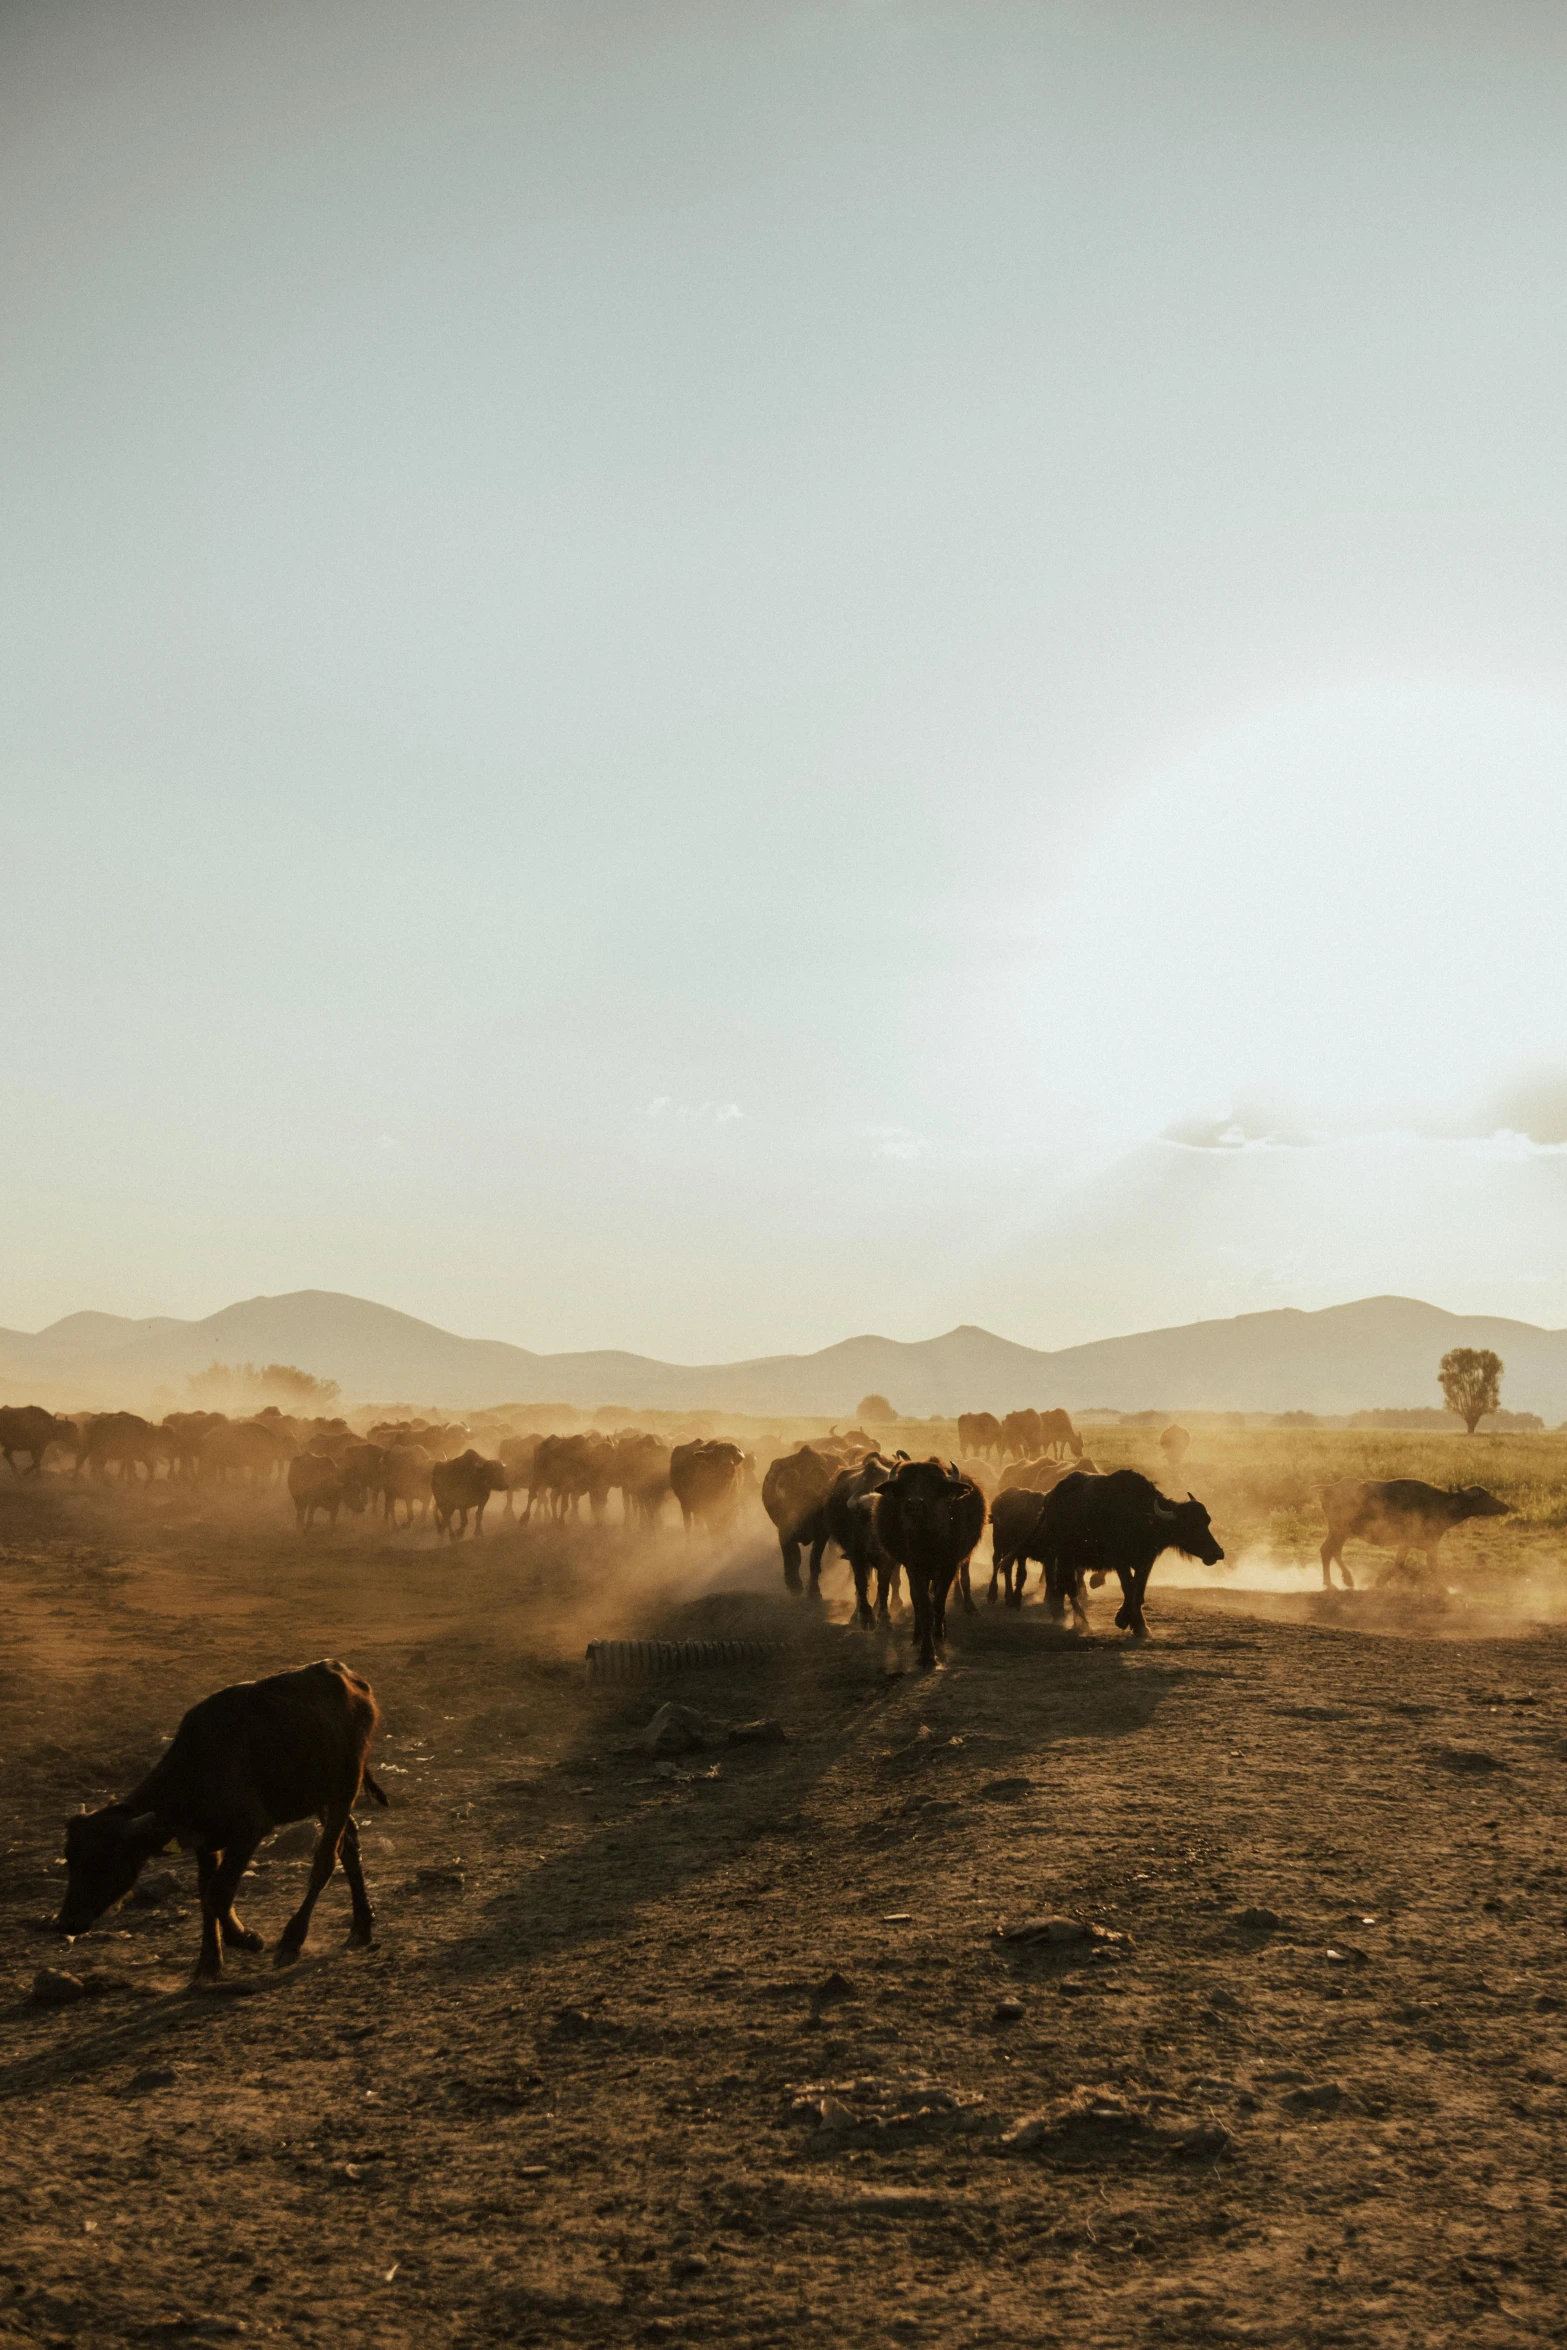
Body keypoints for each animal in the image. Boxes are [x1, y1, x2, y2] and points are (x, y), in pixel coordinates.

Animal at [58, 1663, 389, 1973]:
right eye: (71, 1860)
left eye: (105, 1862)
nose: (67, 1922)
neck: (197, 1770)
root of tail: (354, 1681)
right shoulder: (206, 1843)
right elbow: (206, 1893)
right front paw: (208, 1961)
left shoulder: (249, 1831)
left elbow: (218, 1893)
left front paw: (247, 1938)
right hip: (319, 1796)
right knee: (349, 1844)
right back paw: (361, 1926)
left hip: (346, 1785)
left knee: (326, 1859)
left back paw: (292, 1940)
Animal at [765, 1447, 841, 1597]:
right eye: (789, 1503)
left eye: (809, 1501)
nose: (794, 1526)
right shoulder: (783, 1533)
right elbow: (792, 1558)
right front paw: (794, 1584)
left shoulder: (822, 1534)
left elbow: (814, 1560)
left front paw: (813, 1590)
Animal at [1043, 1466, 1221, 1635]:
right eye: (1189, 1526)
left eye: (1207, 1521)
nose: (1218, 1553)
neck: (1139, 1516)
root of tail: (1051, 1498)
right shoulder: (1120, 1560)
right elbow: (1129, 1588)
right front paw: (1126, 1620)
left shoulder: (1147, 1560)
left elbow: (1138, 1590)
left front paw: (1138, 1624)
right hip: (1064, 1554)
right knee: (1068, 1585)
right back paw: (1081, 1622)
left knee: (1062, 1584)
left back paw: (1059, 1614)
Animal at [1315, 1475, 1512, 1588]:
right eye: (1483, 1496)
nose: (1505, 1507)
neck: (1440, 1504)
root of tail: (1329, 1488)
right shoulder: (1419, 1542)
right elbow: (1426, 1565)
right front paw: (1443, 1590)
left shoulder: (1415, 1543)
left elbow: (1401, 1564)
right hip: (1339, 1531)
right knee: (1328, 1551)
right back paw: (1334, 1582)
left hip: (1339, 1532)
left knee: (1332, 1551)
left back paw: (1341, 1579)